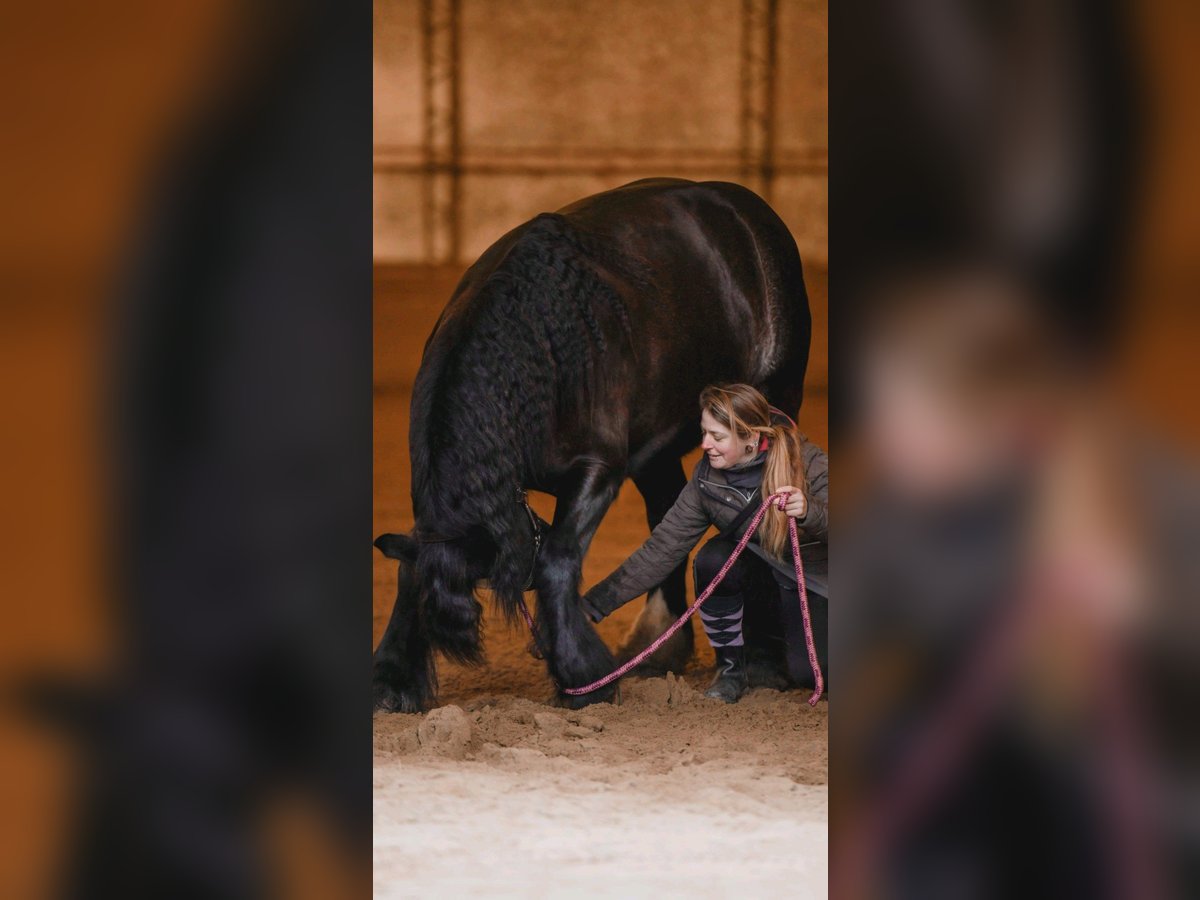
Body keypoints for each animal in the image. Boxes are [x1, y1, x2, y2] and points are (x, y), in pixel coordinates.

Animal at [374, 177, 810, 711]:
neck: (538, 358)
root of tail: (749, 212)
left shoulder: (598, 471)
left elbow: (557, 559)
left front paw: (584, 679)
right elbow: (409, 566)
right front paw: (392, 681)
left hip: (776, 401)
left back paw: (766, 666)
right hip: (657, 451)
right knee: (666, 517)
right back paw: (655, 648)